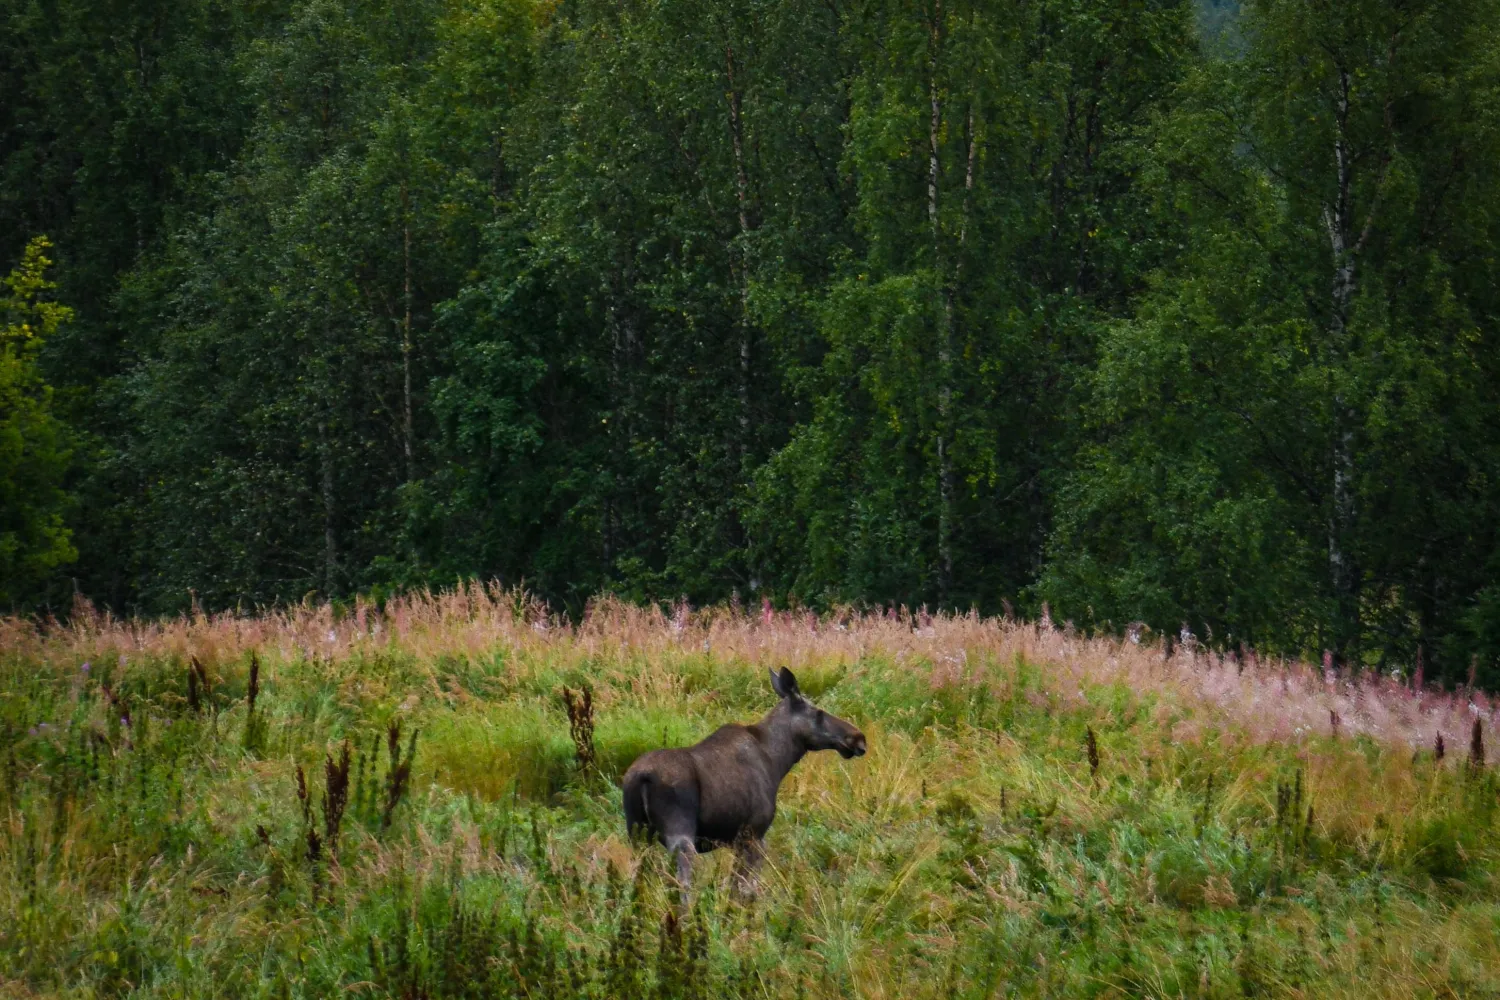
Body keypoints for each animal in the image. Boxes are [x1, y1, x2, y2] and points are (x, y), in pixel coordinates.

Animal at [622, 666, 867, 899]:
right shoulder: (753, 836)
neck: (778, 761)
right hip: (680, 835)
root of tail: (641, 777)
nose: (858, 737)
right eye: (818, 712)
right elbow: (742, 891)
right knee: (683, 884)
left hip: (637, 833)